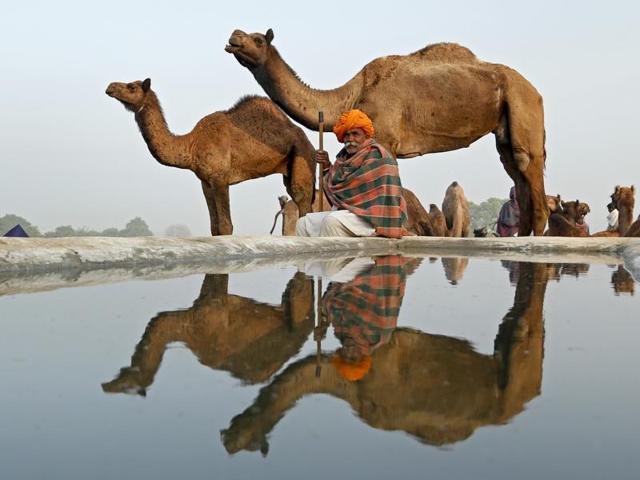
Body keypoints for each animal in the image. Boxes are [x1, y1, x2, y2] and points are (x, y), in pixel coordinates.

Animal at [106, 78, 315, 235]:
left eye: (131, 87)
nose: (110, 87)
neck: (192, 144)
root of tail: (310, 145)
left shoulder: (220, 178)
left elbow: (225, 226)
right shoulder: (205, 182)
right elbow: (214, 228)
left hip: (301, 155)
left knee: (302, 198)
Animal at [226, 29, 548, 236]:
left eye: (257, 39)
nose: (234, 36)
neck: (350, 96)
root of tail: (535, 90)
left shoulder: (384, 139)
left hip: (522, 104)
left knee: (526, 164)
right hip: (506, 124)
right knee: (515, 170)